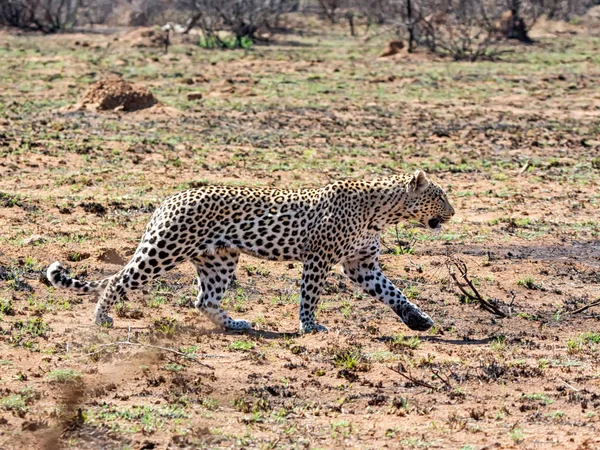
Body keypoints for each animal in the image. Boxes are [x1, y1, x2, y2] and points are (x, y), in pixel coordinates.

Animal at [47, 171, 454, 332]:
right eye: (440, 196)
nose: (452, 213)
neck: (382, 211)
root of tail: (169, 199)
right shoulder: (319, 257)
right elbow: (310, 296)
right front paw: (309, 326)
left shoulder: (362, 264)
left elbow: (394, 293)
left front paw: (418, 320)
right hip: (165, 249)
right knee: (119, 280)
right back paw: (101, 317)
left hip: (220, 259)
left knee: (204, 300)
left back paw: (235, 324)